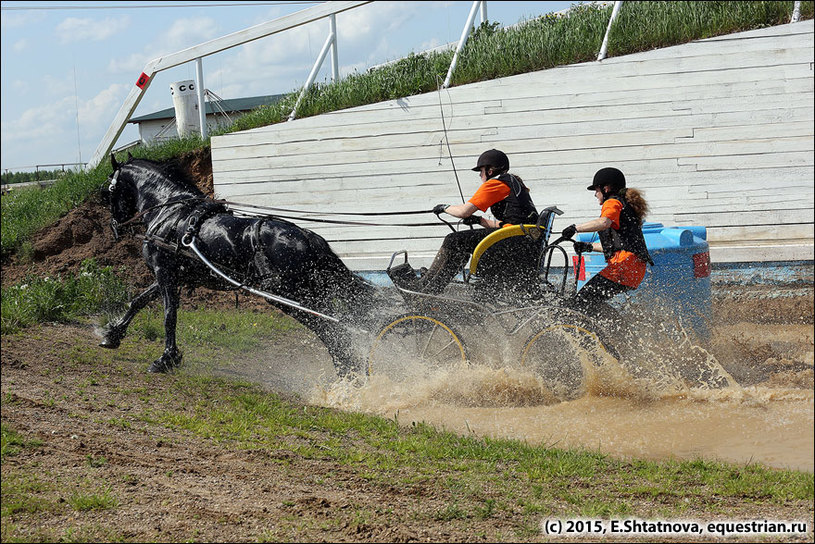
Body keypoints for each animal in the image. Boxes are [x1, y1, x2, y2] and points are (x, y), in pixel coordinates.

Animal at [99, 152, 376, 374]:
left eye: (109, 191)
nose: (114, 227)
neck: (169, 211)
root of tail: (307, 237)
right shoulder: (172, 275)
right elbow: (139, 300)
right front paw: (112, 335)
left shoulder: (163, 271)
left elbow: (169, 315)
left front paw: (166, 359)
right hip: (314, 291)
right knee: (337, 324)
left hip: (288, 295)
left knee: (329, 327)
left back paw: (348, 370)